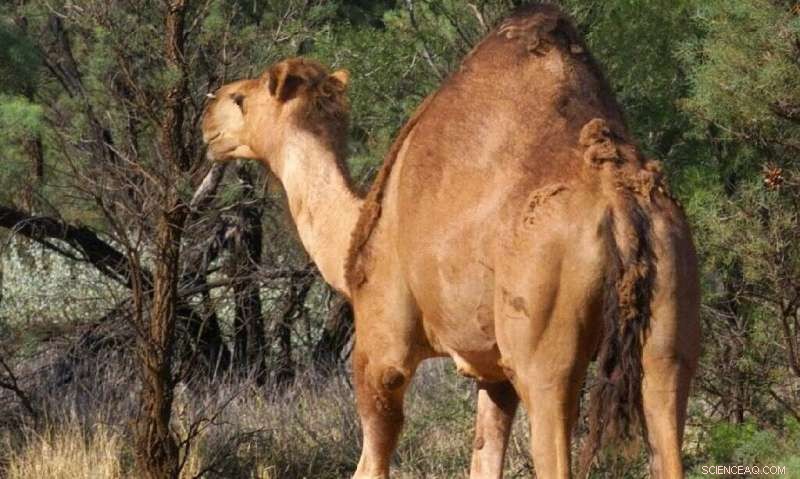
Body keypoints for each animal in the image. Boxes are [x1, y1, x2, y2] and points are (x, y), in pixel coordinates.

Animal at [201, 4, 700, 478]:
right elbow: (483, 459)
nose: (207, 115)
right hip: (668, 327)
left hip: (545, 357)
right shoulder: (492, 374)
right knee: (666, 413)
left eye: (241, 99)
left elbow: (370, 463)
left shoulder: (382, 348)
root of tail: (620, 202)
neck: (354, 235)